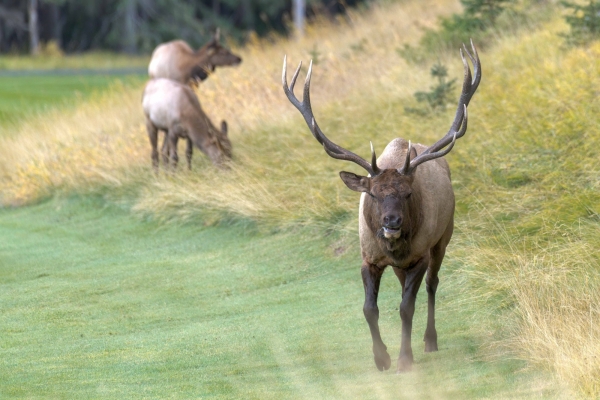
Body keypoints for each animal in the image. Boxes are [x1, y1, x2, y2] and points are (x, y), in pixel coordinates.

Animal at [282, 40, 482, 372]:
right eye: (373, 194)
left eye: (408, 193)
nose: (392, 221)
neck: (393, 248)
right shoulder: (368, 258)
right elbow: (369, 309)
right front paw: (381, 358)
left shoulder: (420, 255)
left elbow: (405, 307)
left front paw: (404, 358)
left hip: (443, 237)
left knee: (432, 285)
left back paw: (430, 340)